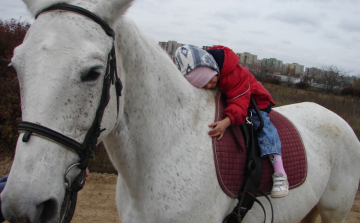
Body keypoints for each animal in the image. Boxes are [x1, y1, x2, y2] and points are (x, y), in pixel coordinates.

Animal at [0, 0, 360, 223]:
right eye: (16, 66)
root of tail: (339, 120)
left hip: (334, 211)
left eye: (92, 72)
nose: (24, 206)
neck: (167, 149)